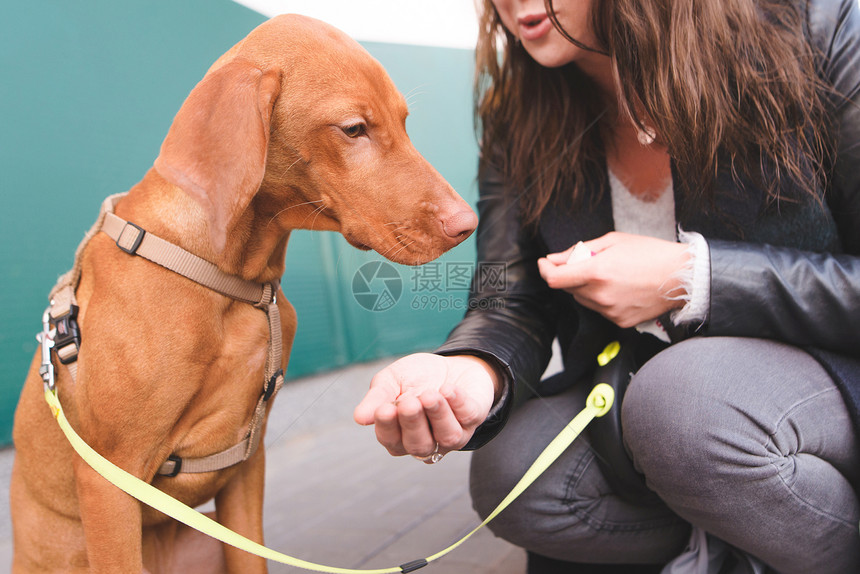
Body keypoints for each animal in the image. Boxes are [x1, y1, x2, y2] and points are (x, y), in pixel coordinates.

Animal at [10, 14, 474, 574]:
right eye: (354, 129)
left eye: (404, 122)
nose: (467, 224)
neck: (233, 276)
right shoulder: (109, 477)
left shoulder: (246, 465)